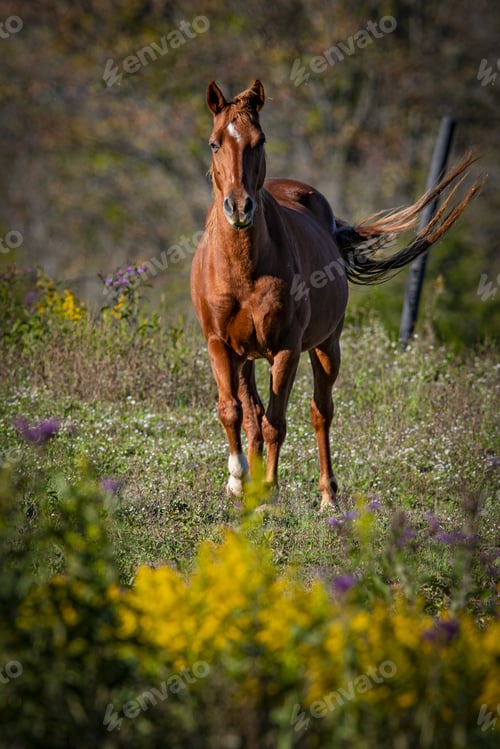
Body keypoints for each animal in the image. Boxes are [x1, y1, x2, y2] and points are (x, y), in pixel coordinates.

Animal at [190, 79, 482, 511]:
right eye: (214, 143)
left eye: (260, 141)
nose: (239, 207)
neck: (243, 268)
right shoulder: (219, 344)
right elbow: (232, 412)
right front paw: (240, 482)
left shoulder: (287, 348)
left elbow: (277, 422)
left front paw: (268, 492)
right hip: (247, 357)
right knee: (252, 414)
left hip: (327, 345)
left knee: (320, 412)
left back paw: (328, 496)